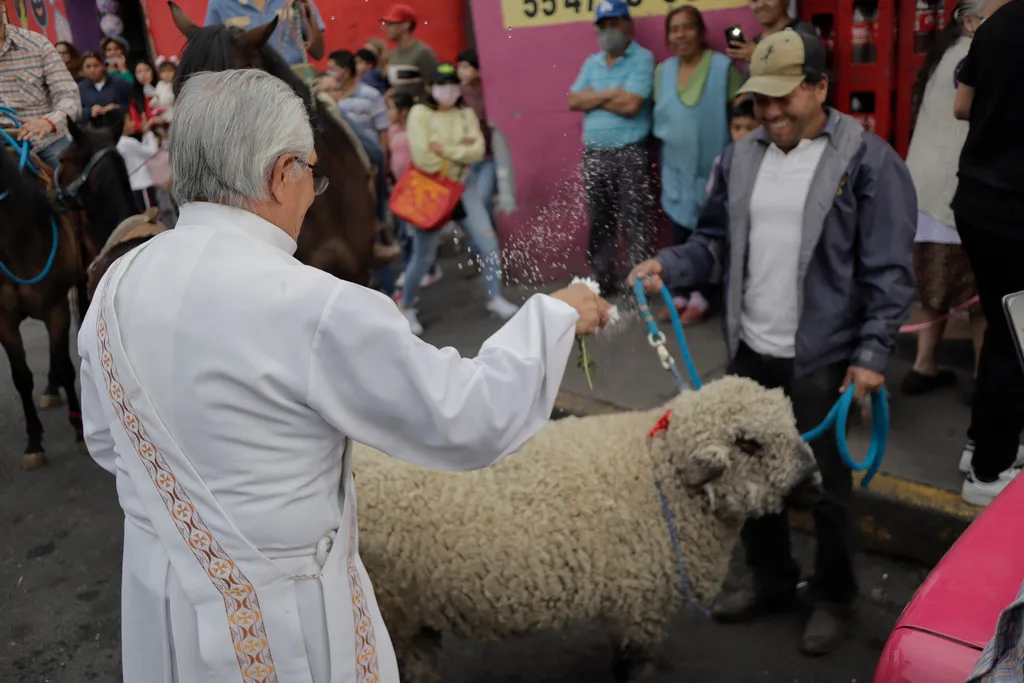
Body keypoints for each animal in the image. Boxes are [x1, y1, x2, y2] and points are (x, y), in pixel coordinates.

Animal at [356, 376, 819, 679]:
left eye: (791, 422)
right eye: (748, 443)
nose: (814, 485)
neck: (659, 469)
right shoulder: (641, 606)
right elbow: (633, 667)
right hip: (392, 606)